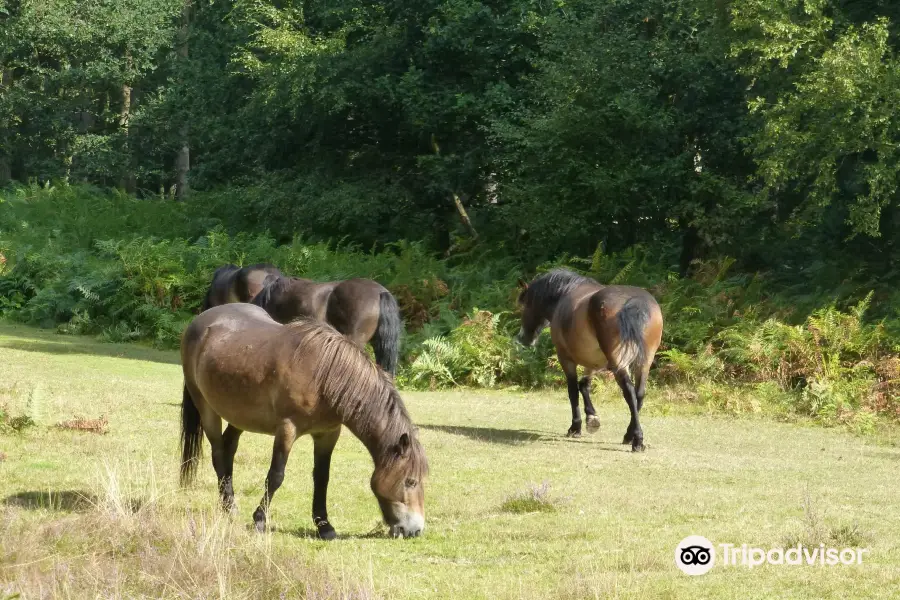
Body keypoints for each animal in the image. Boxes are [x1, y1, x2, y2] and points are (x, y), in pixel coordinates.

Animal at [180, 302, 428, 540]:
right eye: (410, 481)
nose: (415, 530)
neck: (325, 376)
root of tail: (200, 321)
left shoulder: (328, 434)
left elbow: (322, 478)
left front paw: (324, 526)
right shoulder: (287, 429)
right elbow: (276, 476)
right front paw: (260, 520)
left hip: (240, 415)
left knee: (228, 448)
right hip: (207, 409)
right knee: (218, 453)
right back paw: (229, 507)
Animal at [512, 270, 660, 452]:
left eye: (524, 306)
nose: (523, 338)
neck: (565, 293)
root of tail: (634, 302)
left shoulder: (566, 358)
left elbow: (573, 390)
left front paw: (576, 427)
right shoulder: (594, 362)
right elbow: (584, 385)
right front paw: (592, 417)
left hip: (619, 363)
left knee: (629, 392)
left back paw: (637, 440)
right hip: (644, 362)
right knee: (639, 394)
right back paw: (629, 435)